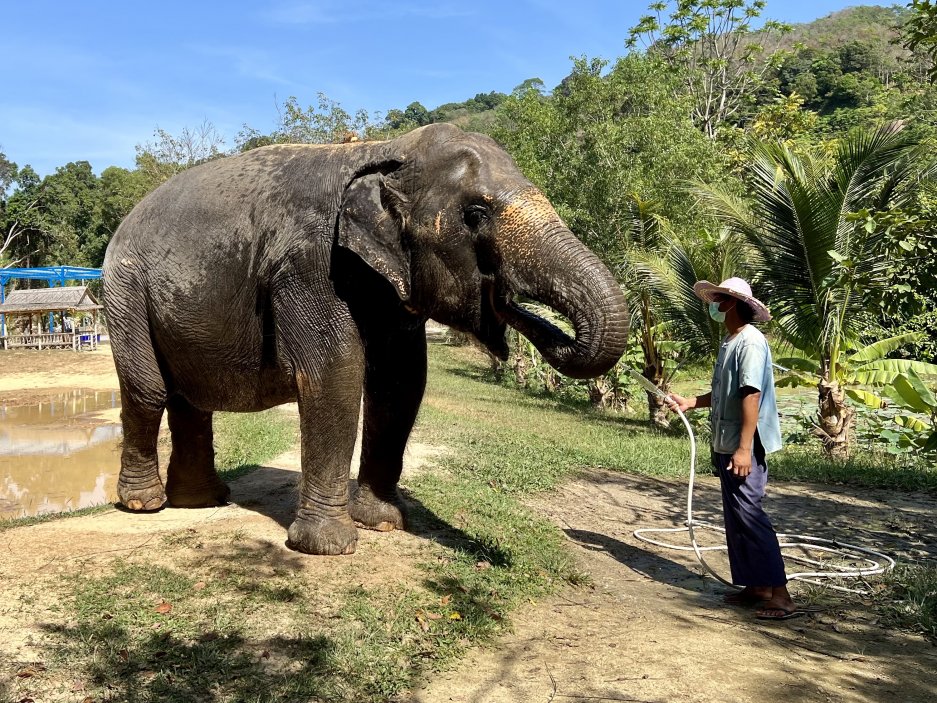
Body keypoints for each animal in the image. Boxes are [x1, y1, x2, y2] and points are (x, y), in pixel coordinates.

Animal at [104, 122, 628, 556]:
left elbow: (401, 381)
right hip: (125, 291)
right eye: (476, 214)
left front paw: (383, 523)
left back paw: (202, 501)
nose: (513, 307)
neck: (385, 148)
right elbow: (335, 373)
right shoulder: (310, 265)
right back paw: (145, 505)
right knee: (149, 391)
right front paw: (328, 547)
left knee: (189, 400)